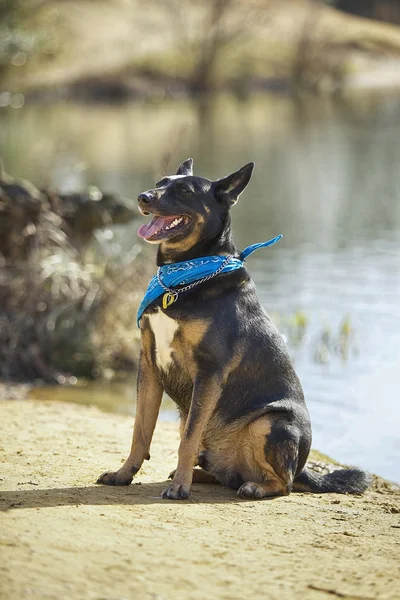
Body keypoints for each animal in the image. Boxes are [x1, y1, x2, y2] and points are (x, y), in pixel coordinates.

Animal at [97, 159, 368, 502]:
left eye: (184, 190)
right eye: (160, 183)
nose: (143, 197)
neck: (183, 278)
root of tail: (304, 469)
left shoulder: (209, 372)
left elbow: (187, 439)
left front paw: (179, 488)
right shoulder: (148, 364)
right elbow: (140, 431)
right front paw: (123, 474)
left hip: (272, 422)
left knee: (284, 484)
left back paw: (252, 486)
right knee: (226, 473)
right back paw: (203, 475)